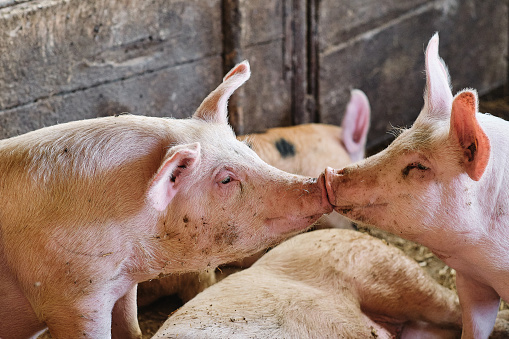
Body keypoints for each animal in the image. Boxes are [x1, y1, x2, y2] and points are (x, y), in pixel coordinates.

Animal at [0, 61, 332, 339]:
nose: (319, 182)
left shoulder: (122, 286)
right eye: (226, 179)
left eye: (248, 148)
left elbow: (131, 329)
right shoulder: (73, 299)